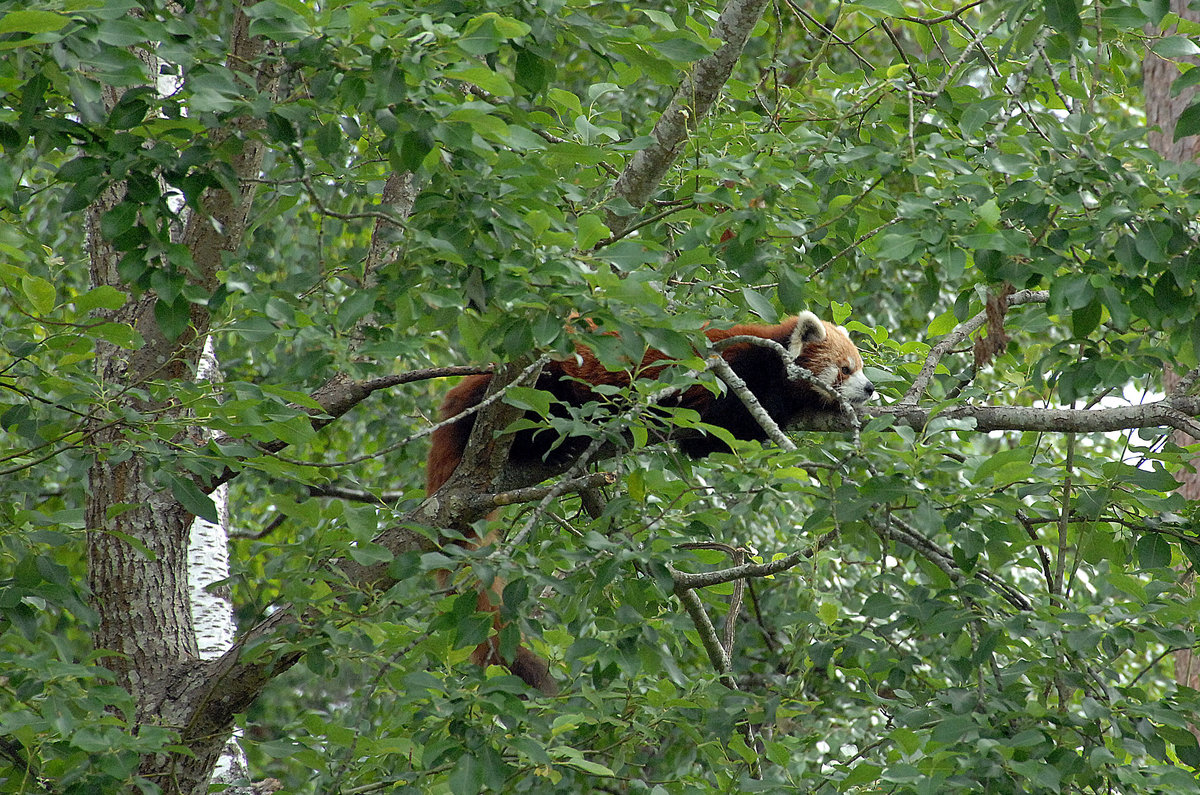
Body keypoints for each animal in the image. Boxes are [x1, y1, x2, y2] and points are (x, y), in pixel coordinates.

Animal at [429, 314, 873, 696]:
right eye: (846, 369)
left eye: (861, 367)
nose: (870, 388)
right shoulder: (736, 372)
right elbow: (723, 427)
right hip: (542, 389)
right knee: (543, 411)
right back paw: (556, 446)